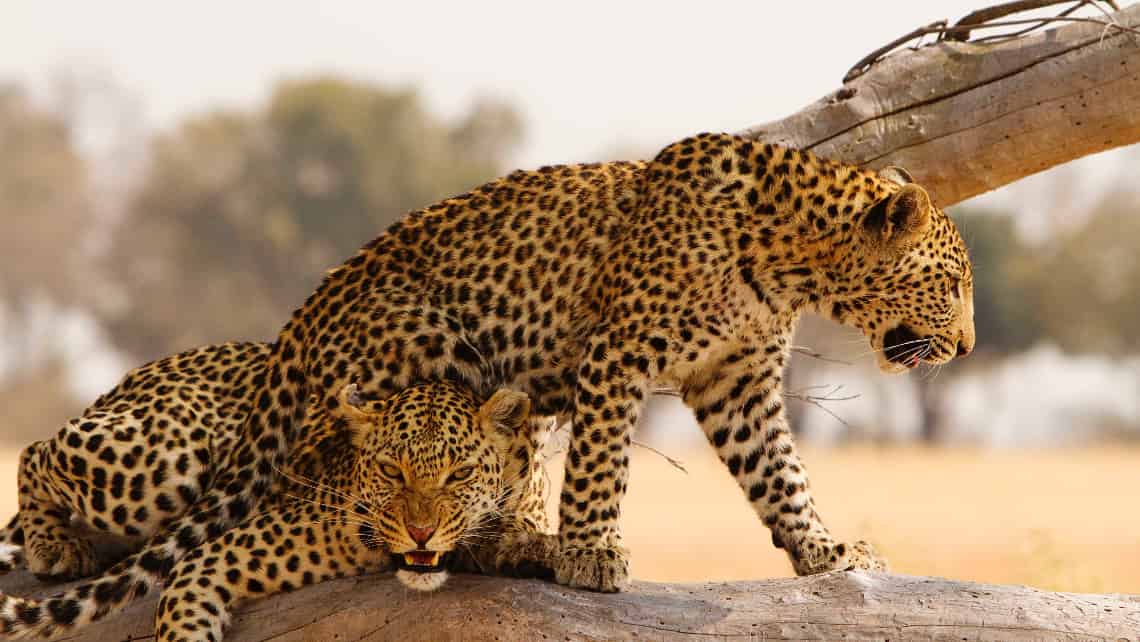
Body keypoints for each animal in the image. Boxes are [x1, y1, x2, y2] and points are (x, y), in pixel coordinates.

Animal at [0, 346, 551, 638]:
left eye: (460, 474)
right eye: (392, 471)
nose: (421, 532)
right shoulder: (212, 558)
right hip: (161, 464)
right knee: (38, 449)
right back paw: (53, 546)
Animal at [24, 130, 980, 597]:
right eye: (953, 284)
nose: (970, 346)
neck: (789, 262)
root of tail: (295, 330)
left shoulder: (736, 380)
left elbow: (781, 473)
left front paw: (824, 549)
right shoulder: (618, 353)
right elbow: (599, 467)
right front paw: (591, 553)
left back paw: (517, 535)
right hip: (431, 342)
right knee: (44, 452)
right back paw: (49, 543)